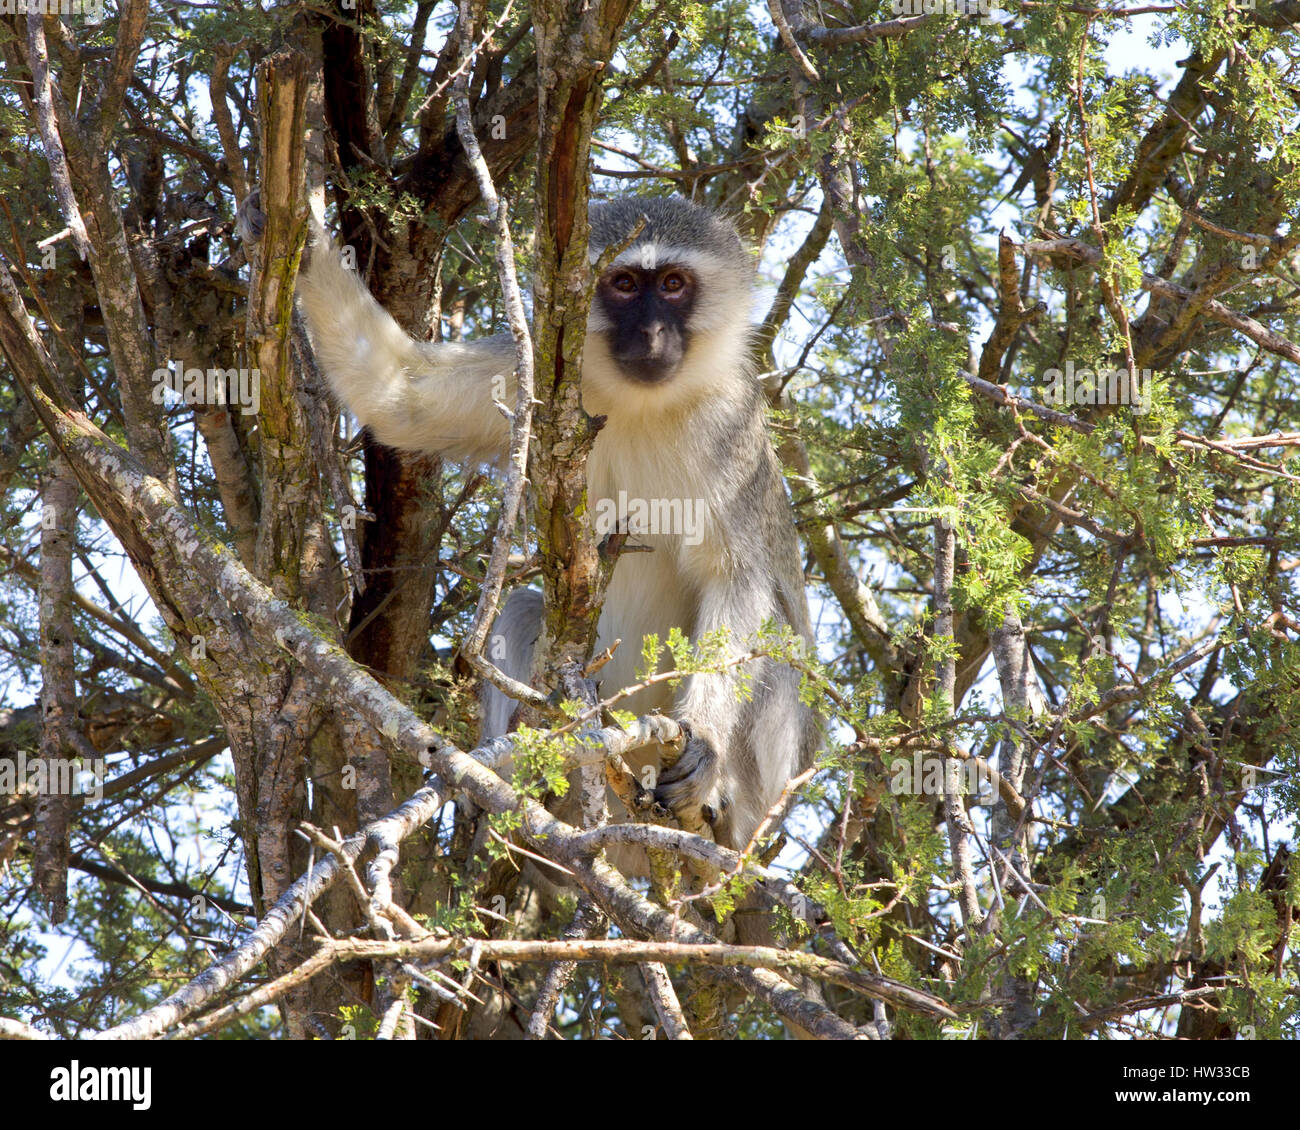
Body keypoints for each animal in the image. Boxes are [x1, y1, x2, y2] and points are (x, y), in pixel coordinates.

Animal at [283, 196, 816, 847]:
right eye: (623, 283)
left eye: (672, 284)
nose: (651, 334)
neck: (638, 403)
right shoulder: (528, 371)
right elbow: (404, 397)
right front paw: (299, 223)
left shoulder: (729, 428)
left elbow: (738, 580)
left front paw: (707, 746)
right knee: (519, 607)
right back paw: (516, 777)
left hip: (764, 790)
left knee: (779, 638)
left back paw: (722, 801)